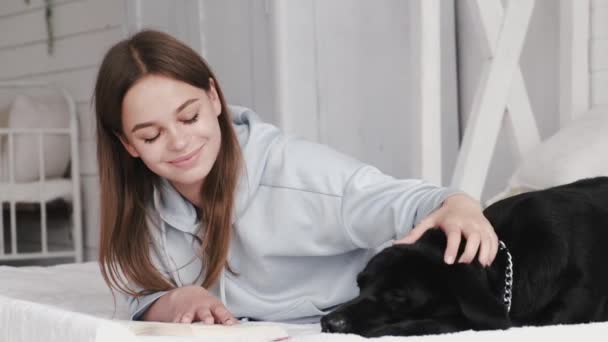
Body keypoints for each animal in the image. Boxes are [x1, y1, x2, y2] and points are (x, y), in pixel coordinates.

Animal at [320, 176, 608, 336]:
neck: (511, 258)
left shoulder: (544, 320)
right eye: (360, 284)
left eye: (398, 295)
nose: (328, 322)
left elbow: (452, 321)